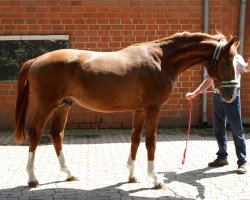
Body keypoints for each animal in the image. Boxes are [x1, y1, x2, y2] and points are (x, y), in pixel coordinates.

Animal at [14, 31, 239, 189]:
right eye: (228, 62)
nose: (230, 95)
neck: (161, 60)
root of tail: (36, 60)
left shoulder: (140, 110)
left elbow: (135, 139)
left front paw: (132, 175)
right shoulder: (153, 109)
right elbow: (151, 141)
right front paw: (155, 179)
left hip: (63, 105)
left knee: (56, 134)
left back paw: (68, 173)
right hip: (46, 105)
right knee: (35, 134)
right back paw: (32, 178)